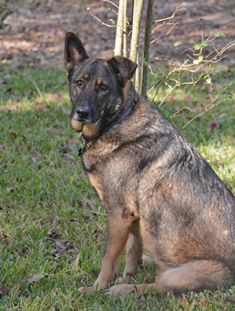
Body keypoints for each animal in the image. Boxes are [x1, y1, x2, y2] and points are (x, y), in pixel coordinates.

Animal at [64, 32, 235, 298]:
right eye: (79, 83)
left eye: (103, 87)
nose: (81, 113)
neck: (119, 120)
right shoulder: (135, 217)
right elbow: (132, 250)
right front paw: (129, 272)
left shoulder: (118, 214)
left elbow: (108, 259)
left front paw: (99, 287)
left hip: (182, 275)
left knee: (156, 287)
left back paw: (123, 290)